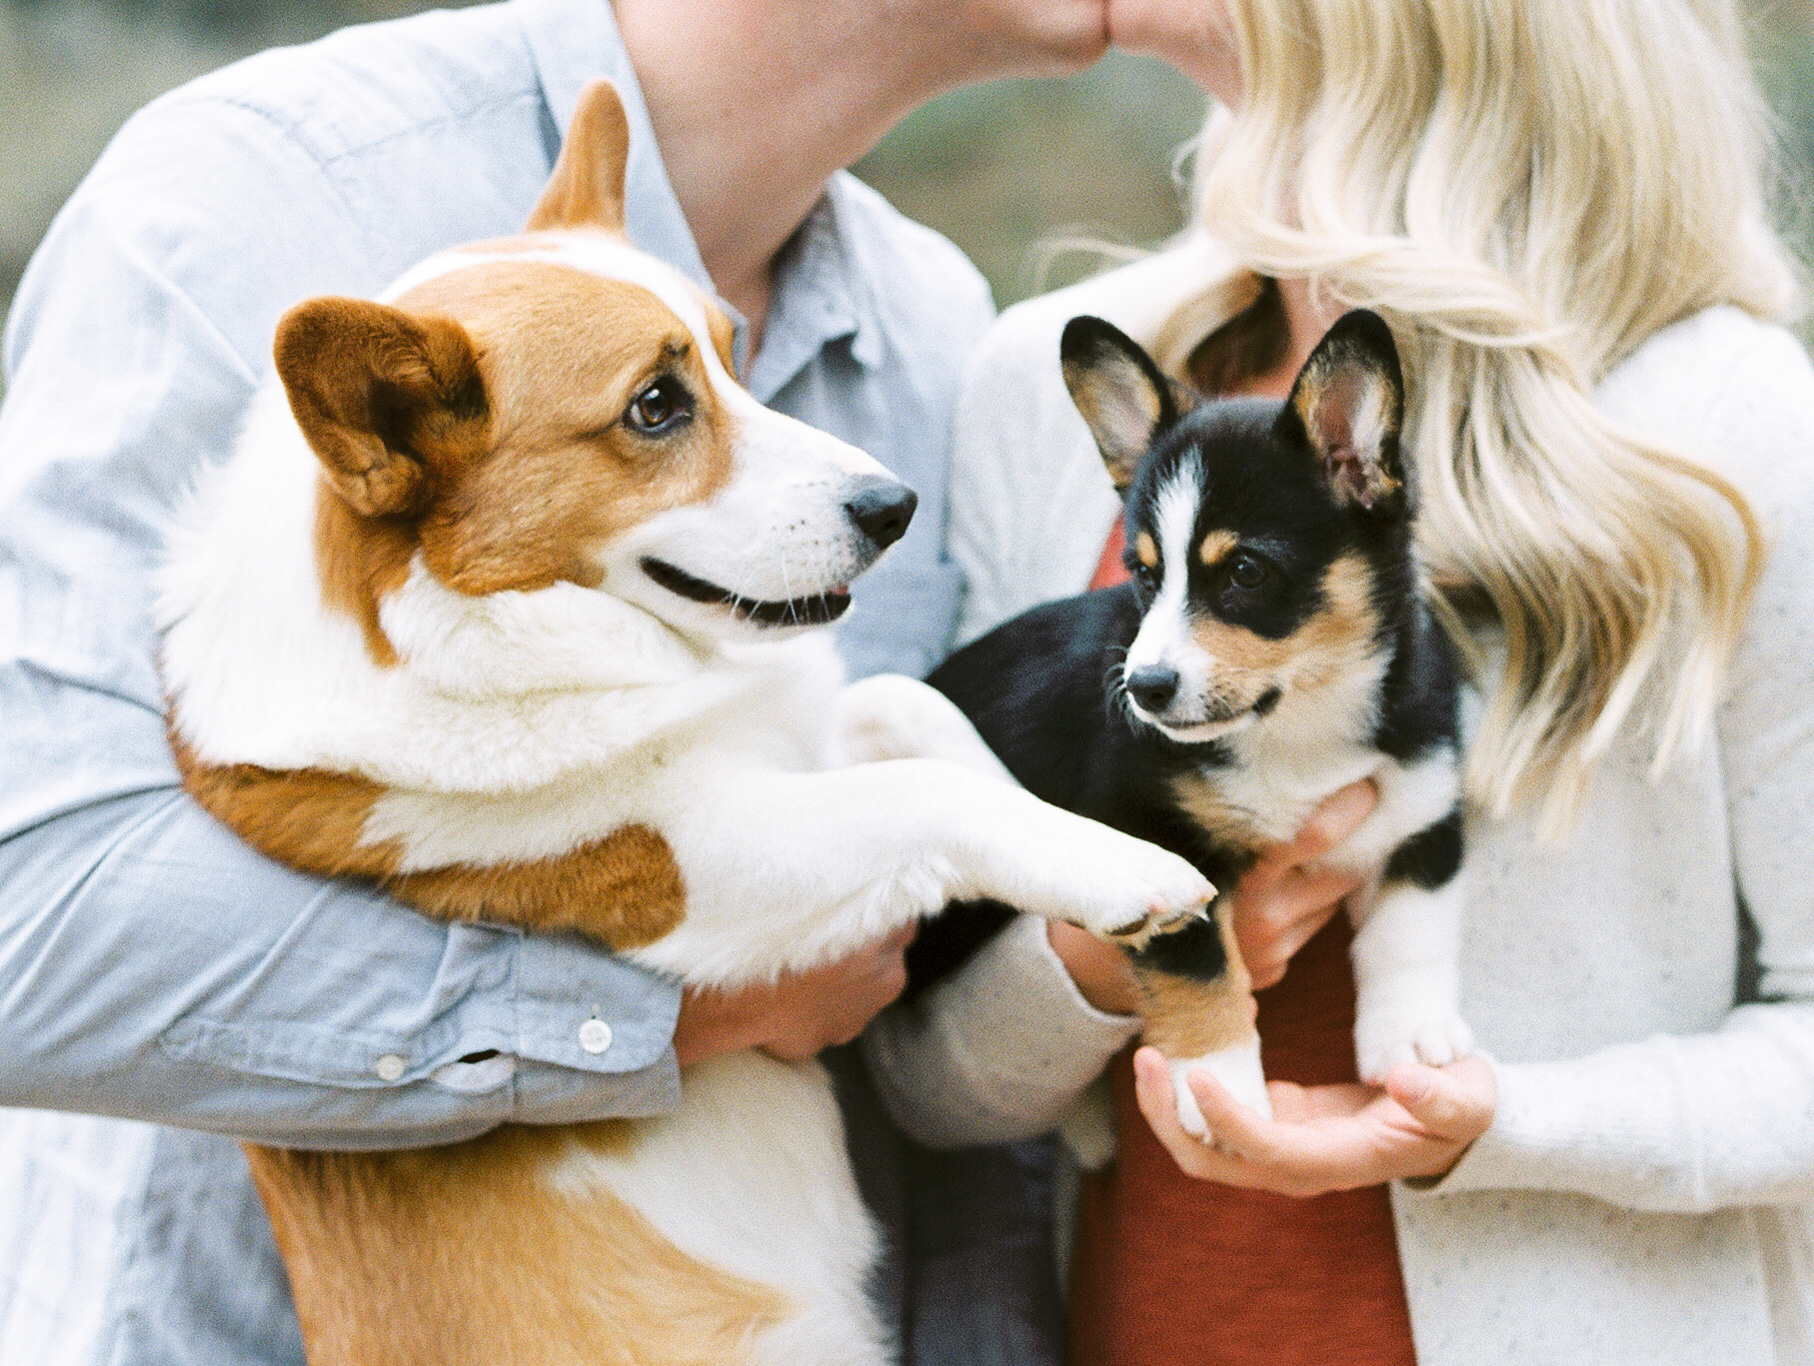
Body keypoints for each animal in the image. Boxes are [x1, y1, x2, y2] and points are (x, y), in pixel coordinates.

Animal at [921, 312, 1472, 1139]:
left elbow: (1412, 924)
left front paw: (1411, 1036)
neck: (1298, 723)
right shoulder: (1151, 840)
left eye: (1245, 572)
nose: (1145, 691)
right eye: (1145, 573)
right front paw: (1217, 1087)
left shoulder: (1425, 803)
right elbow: (1201, 971)